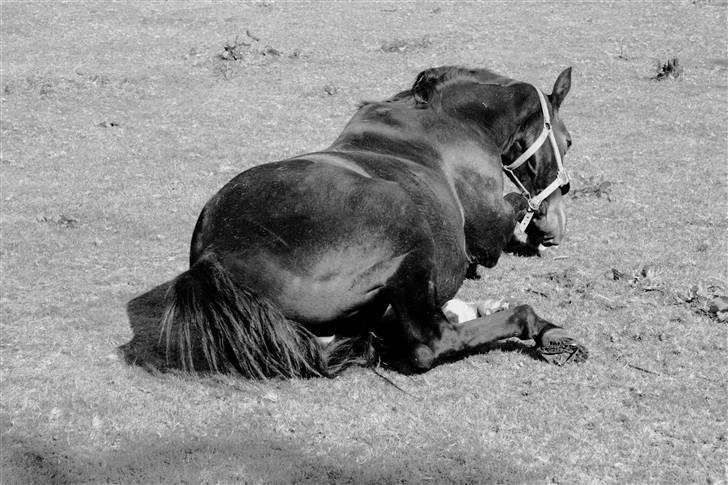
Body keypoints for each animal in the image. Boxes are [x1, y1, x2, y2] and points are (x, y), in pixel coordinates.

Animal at [158, 64, 584, 378]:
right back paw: (540, 328)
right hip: (407, 225)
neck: (452, 119)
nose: (556, 227)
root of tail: (211, 255)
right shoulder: (487, 232)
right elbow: (514, 208)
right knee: (431, 342)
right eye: (567, 140)